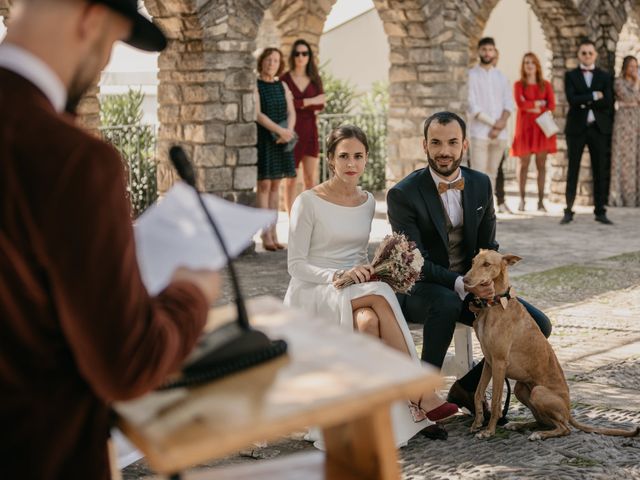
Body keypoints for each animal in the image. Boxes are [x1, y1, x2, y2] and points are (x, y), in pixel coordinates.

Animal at [462, 249, 636, 440]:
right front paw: (477, 423)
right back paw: (520, 425)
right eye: (473, 262)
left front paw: (489, 431)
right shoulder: (489, 361)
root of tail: (568, 409)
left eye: (486, 264)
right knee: (543, 421)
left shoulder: (499, 363)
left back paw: (539, 434)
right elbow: (478, 393)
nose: (464, 280)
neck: (495, 305)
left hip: (538, 392)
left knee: (564, 428)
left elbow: (495, 402)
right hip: (521, 389)